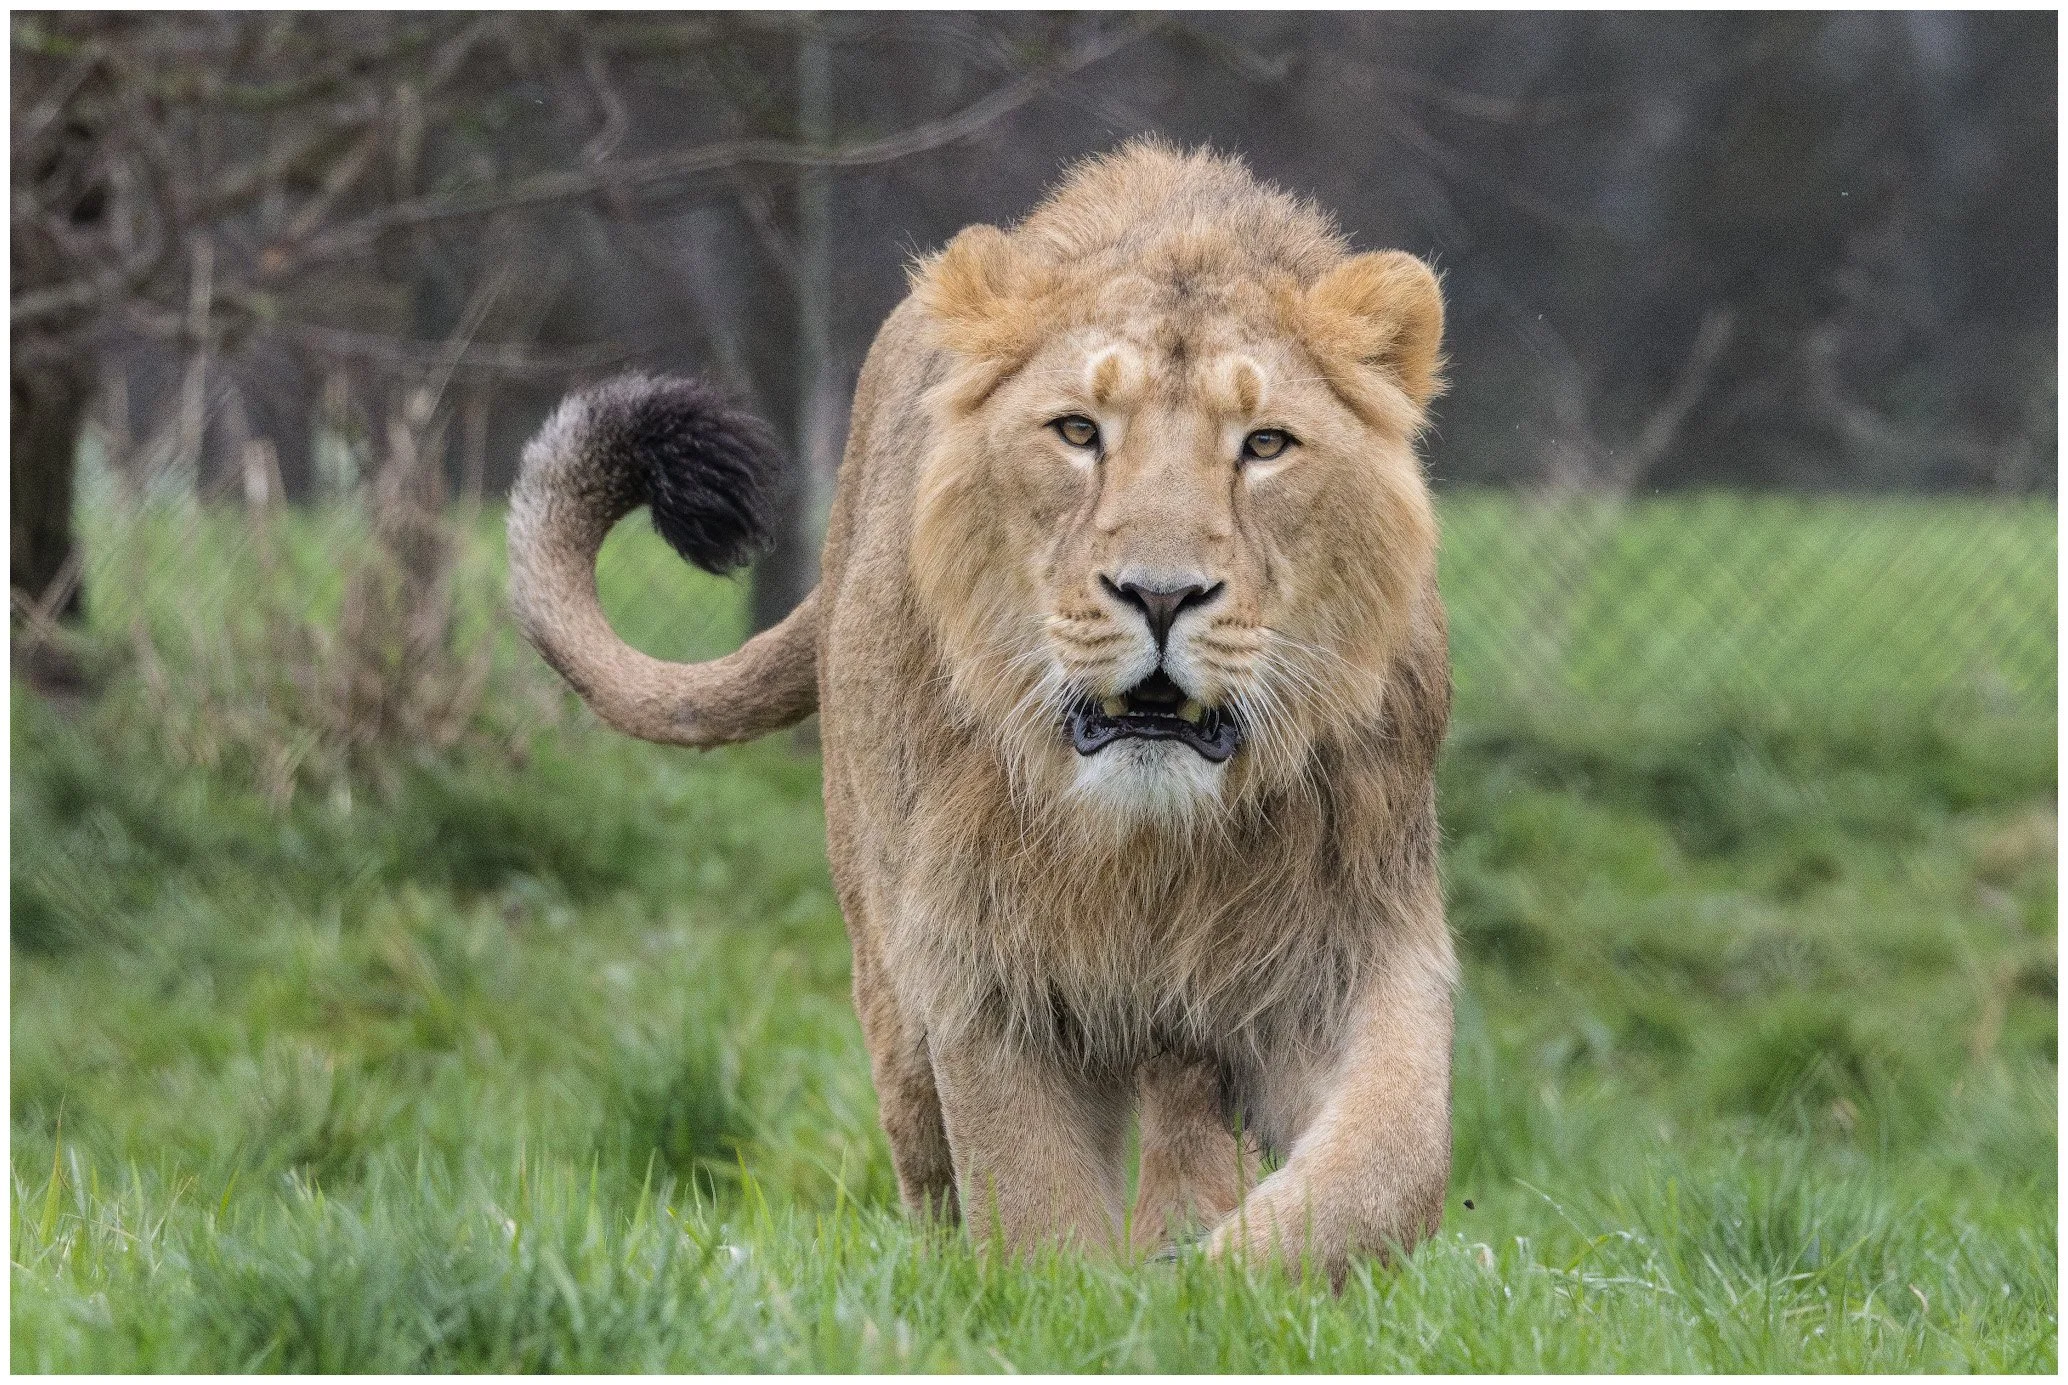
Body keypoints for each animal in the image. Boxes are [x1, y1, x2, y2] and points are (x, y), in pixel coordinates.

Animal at [507, 140, 1455, 1280]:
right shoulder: (980, 963)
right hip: (885, 969)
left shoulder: (1348, 938)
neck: (1150, 846)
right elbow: (1031, 1202)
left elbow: (1394, 1160)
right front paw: (1087, 1296)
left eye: (1266, 444)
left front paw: (1208, 1280)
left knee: (1187, 1111)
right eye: (1078, 432)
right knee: (929, 1159)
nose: (1160, 594)